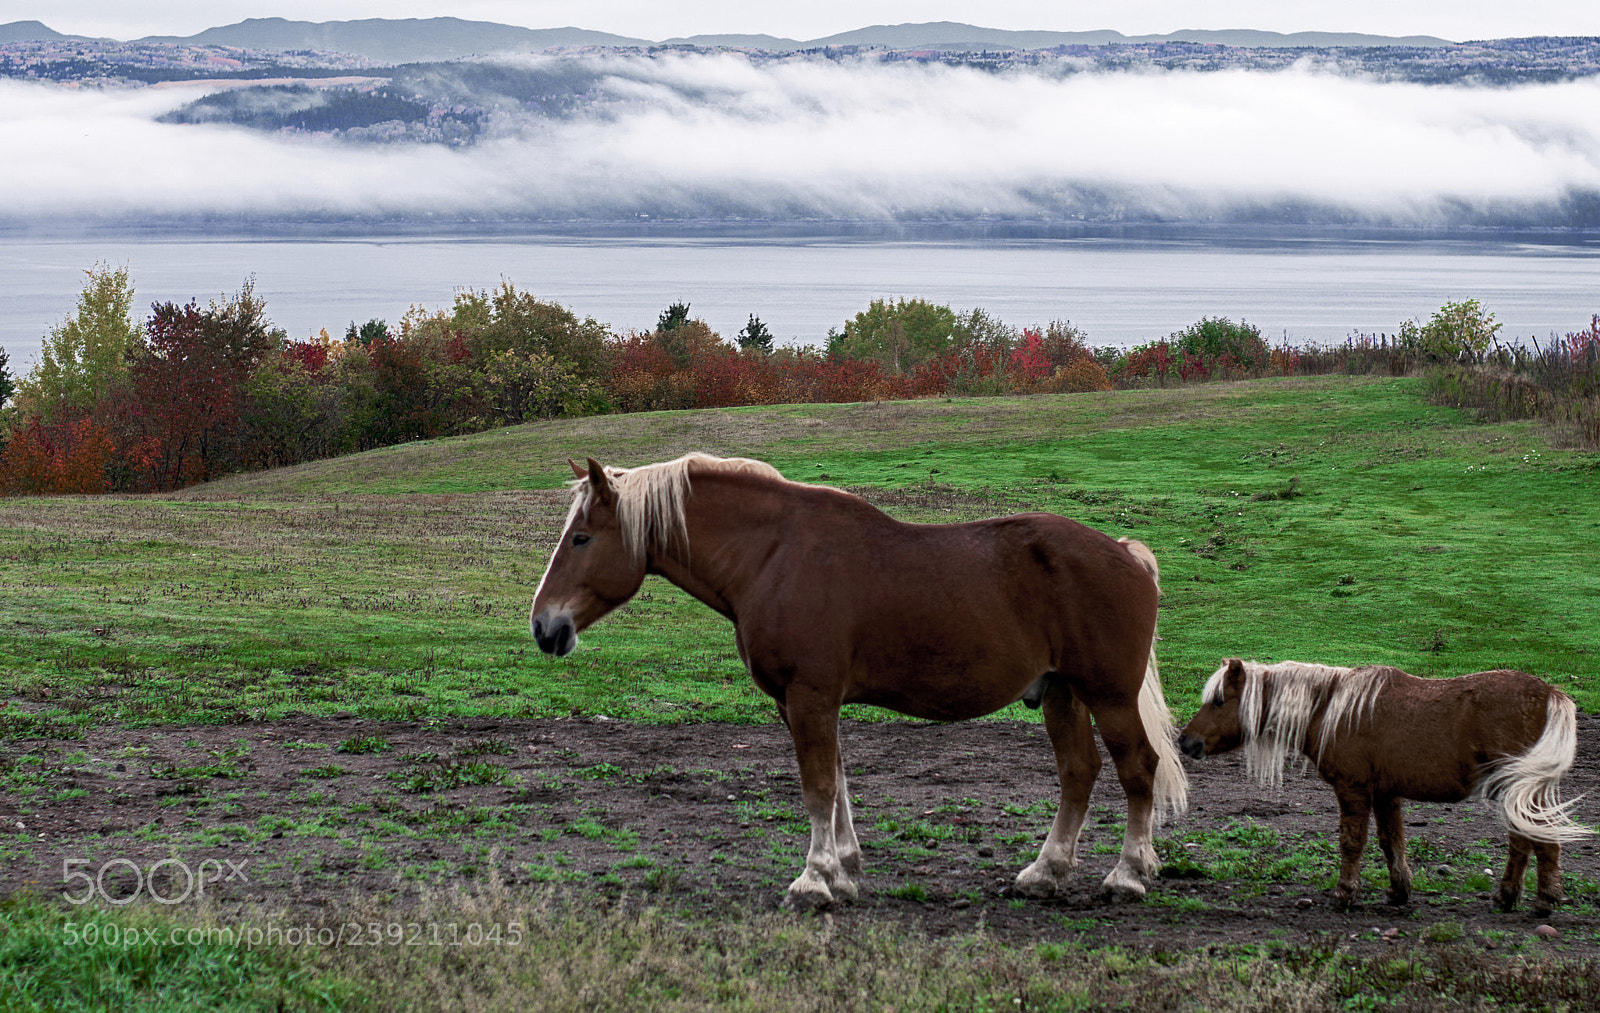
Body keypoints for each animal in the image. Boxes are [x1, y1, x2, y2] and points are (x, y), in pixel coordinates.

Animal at [529, 452, 1187, 911]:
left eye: (581, 537)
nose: (543, 626)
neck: (774, 556)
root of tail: (1126, 553)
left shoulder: (810, 697)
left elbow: (819, 786)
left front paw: (814, 881)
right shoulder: (804, 702)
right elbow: (838, 782)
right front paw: (843, 870)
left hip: (1108, 696)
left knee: (1138, 770)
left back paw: (1128, 875)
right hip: (1061, 694)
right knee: (1079, 773)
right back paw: (1044, 872)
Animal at [1178, 658, 1590, 914]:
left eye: (1218, 701)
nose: (1185, 741)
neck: (1332, 709)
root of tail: (1549, 693)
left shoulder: (1354, 790)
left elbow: (1352, 843)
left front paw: (1345, 893)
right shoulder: (1385, 794)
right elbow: (1392, 842)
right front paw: (1398, 891)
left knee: (1535, 840)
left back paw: (1535, 899)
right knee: (1528, 841)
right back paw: (1517, 897)